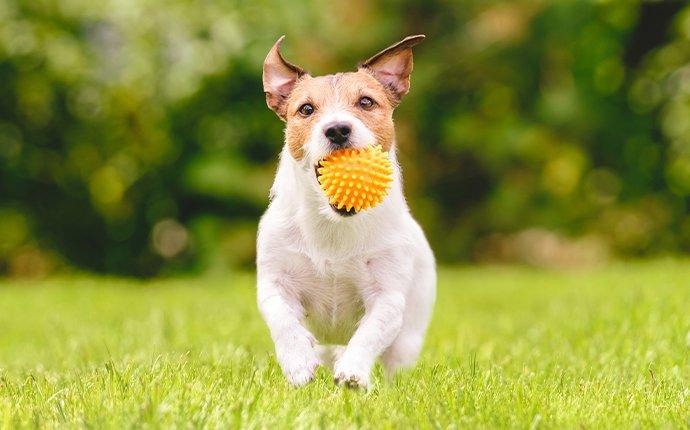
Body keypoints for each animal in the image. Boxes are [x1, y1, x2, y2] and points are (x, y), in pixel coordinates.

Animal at [255, 35, 432, 388]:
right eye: (306, 109)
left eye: (366, 102)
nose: (337, 129)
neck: (333, 225)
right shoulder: (274, 283)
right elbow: (283, 321)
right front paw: (298, 363)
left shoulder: (387, 296)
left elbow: (370, 333)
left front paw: (353, 373)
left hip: (409, 335)